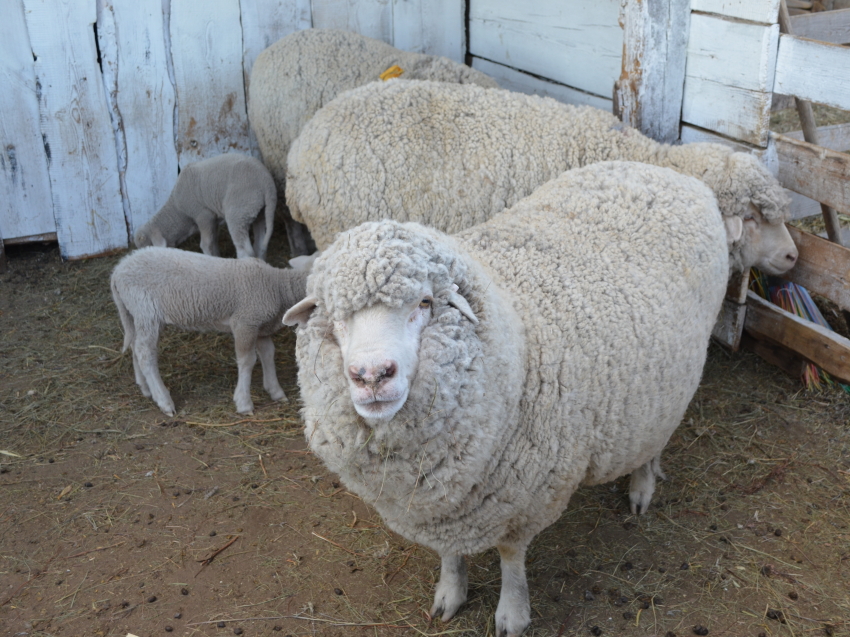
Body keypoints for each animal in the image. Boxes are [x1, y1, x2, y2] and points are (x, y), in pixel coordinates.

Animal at [111, 247, 306, 418]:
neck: (277, 285)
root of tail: (117, 271)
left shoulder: (260, 327)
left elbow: (268, 354)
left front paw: (276, 391)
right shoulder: (244, 322)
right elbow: (247, 361)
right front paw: (244, 403)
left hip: (137, 315)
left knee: (135, 346)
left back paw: (145, 388)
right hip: (145, 311)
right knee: (145, 354)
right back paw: (164, 401)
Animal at [134, 153, 276, 260]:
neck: (178, 212)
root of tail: (266, 183)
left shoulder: (203, 215)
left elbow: (206, 244)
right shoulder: (214, 221)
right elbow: (214, 242)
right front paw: (217, 257)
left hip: (239, 211)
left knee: (245, 249)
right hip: (257, 212)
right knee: (260, 245)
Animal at [280, 161, 728, 632]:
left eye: (425, 302)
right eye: (334, 316)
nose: (370, 375)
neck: (516, 345)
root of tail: (663, 170)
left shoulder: (527, 493)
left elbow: (511, 557)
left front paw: (512, 613)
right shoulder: (443, 502)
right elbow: (450, 552)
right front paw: (450, 592)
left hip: (675, 378)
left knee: (653, 442)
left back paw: (642, 485)